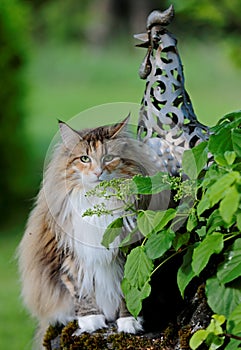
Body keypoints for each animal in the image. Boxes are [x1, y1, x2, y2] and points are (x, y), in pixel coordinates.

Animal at [17, 116, 169, 348]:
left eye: (109, 158)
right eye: (84, 158)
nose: (98, 172)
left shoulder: (130, 252)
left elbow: (127, 289)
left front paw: (129, 321)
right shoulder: (69, 254)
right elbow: (79, 290)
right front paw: (91, 320)